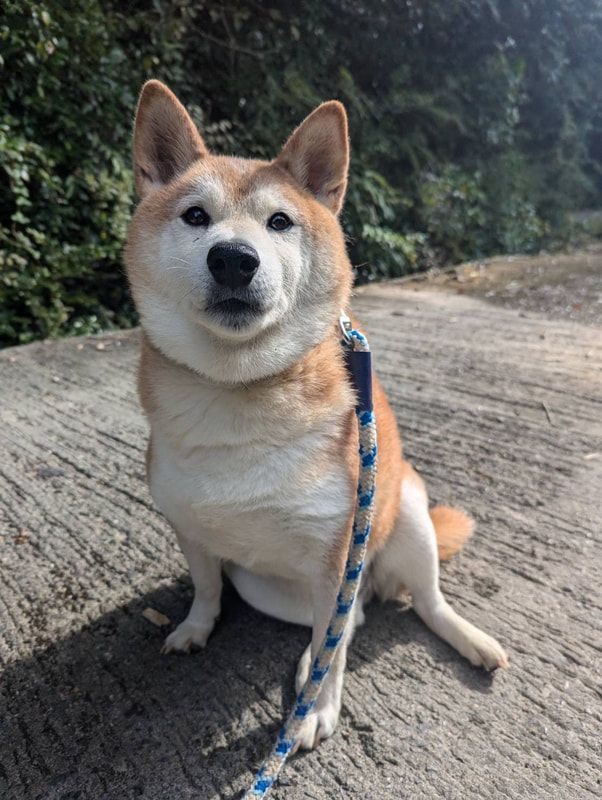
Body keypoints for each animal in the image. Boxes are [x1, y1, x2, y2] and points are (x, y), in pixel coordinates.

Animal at [123, 79, 506, 752]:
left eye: (280, 221)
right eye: (195, 216)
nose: (233, 258)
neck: (240, 390)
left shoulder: (337, 553)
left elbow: (338, 647)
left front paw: (315, 710)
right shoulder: (190, 525)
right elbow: (207, 589)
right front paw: (195, 627)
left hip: (406, 516)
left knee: (410, 607)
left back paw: (464, 640)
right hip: (272, 587)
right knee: (349, 621)